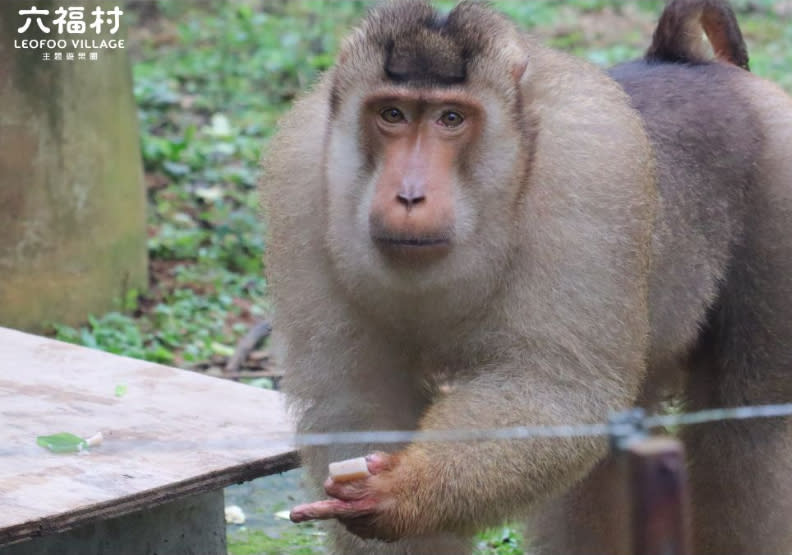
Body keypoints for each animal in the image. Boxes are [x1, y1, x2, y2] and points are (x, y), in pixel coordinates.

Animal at [262, 1, 792, 555]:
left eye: (451, 118)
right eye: (392, 114)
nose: (409, 195)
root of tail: (689, 61)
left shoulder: (586, 174)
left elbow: (555, 389)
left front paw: (400, 492)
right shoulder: (300, 180)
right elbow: (357, 399)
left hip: (778, 191)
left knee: (744, 428)